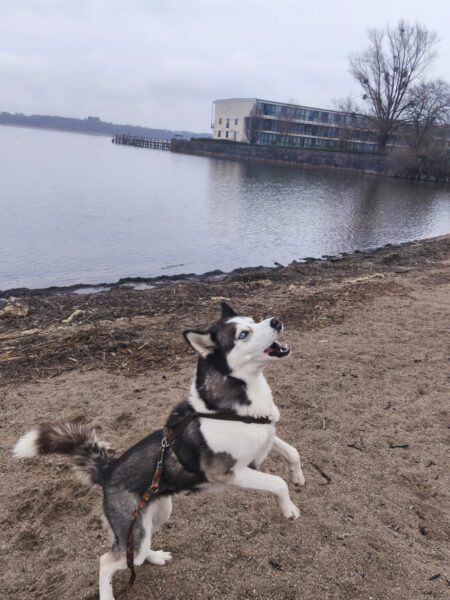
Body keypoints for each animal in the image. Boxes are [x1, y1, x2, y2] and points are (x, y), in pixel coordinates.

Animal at [14, 302, 305, 600]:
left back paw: (155, 557)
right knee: (107, 561)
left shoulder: (264, 441)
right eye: (243, 335)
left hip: (156, 515)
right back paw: (109, 592)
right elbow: (277, 482)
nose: (276, 321)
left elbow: (292, 452)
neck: (233, 409)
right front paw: (289, 509)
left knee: (136, 552)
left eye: (253, 320)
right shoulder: (230, 472)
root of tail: (108, 468)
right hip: (136, 527)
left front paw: (298, 477)